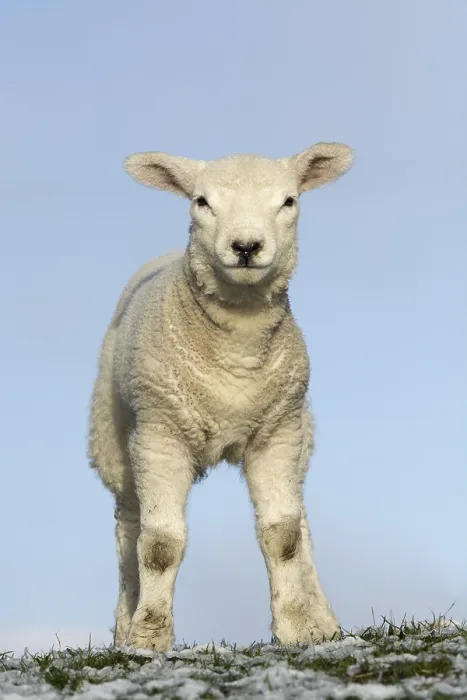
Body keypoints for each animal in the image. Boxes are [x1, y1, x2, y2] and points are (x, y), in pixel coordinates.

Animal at [88, 142, 353, 652]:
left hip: (300, 434)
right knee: (129, 527)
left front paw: (296, 628)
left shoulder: (277, 433)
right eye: (201, 202)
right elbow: (159, 544)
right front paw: (150, 637)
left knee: (303, 523)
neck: (237, 354)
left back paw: (325, 622)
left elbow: (283, 535)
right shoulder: (161, 435)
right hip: (117, 442)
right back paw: (124, 626)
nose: (246, 247)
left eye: (288, 201)